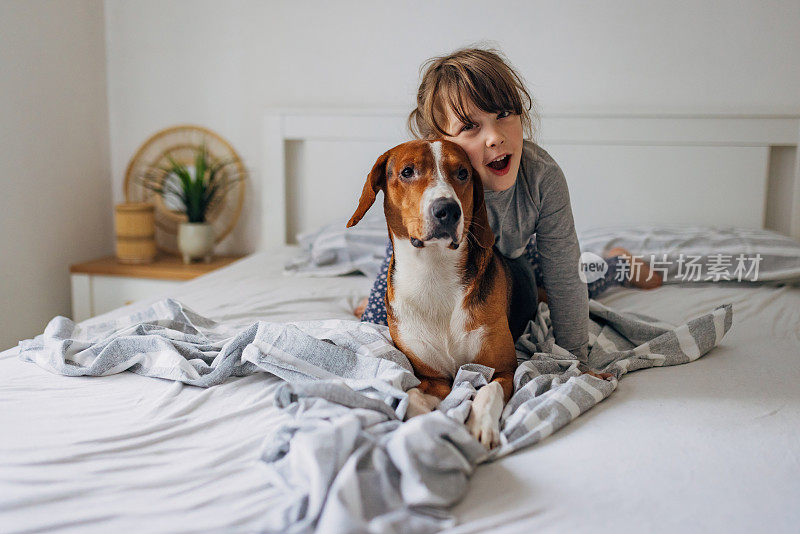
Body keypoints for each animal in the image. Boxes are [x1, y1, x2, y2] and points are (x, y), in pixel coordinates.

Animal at [346, 138, 536, 448]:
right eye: (408, 172)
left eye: (463, 173)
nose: (448, 210)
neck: (432, 271)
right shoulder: (432, 378)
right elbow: (411, 396)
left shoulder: (503, 370)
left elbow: (488, 392)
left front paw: (481, 425)